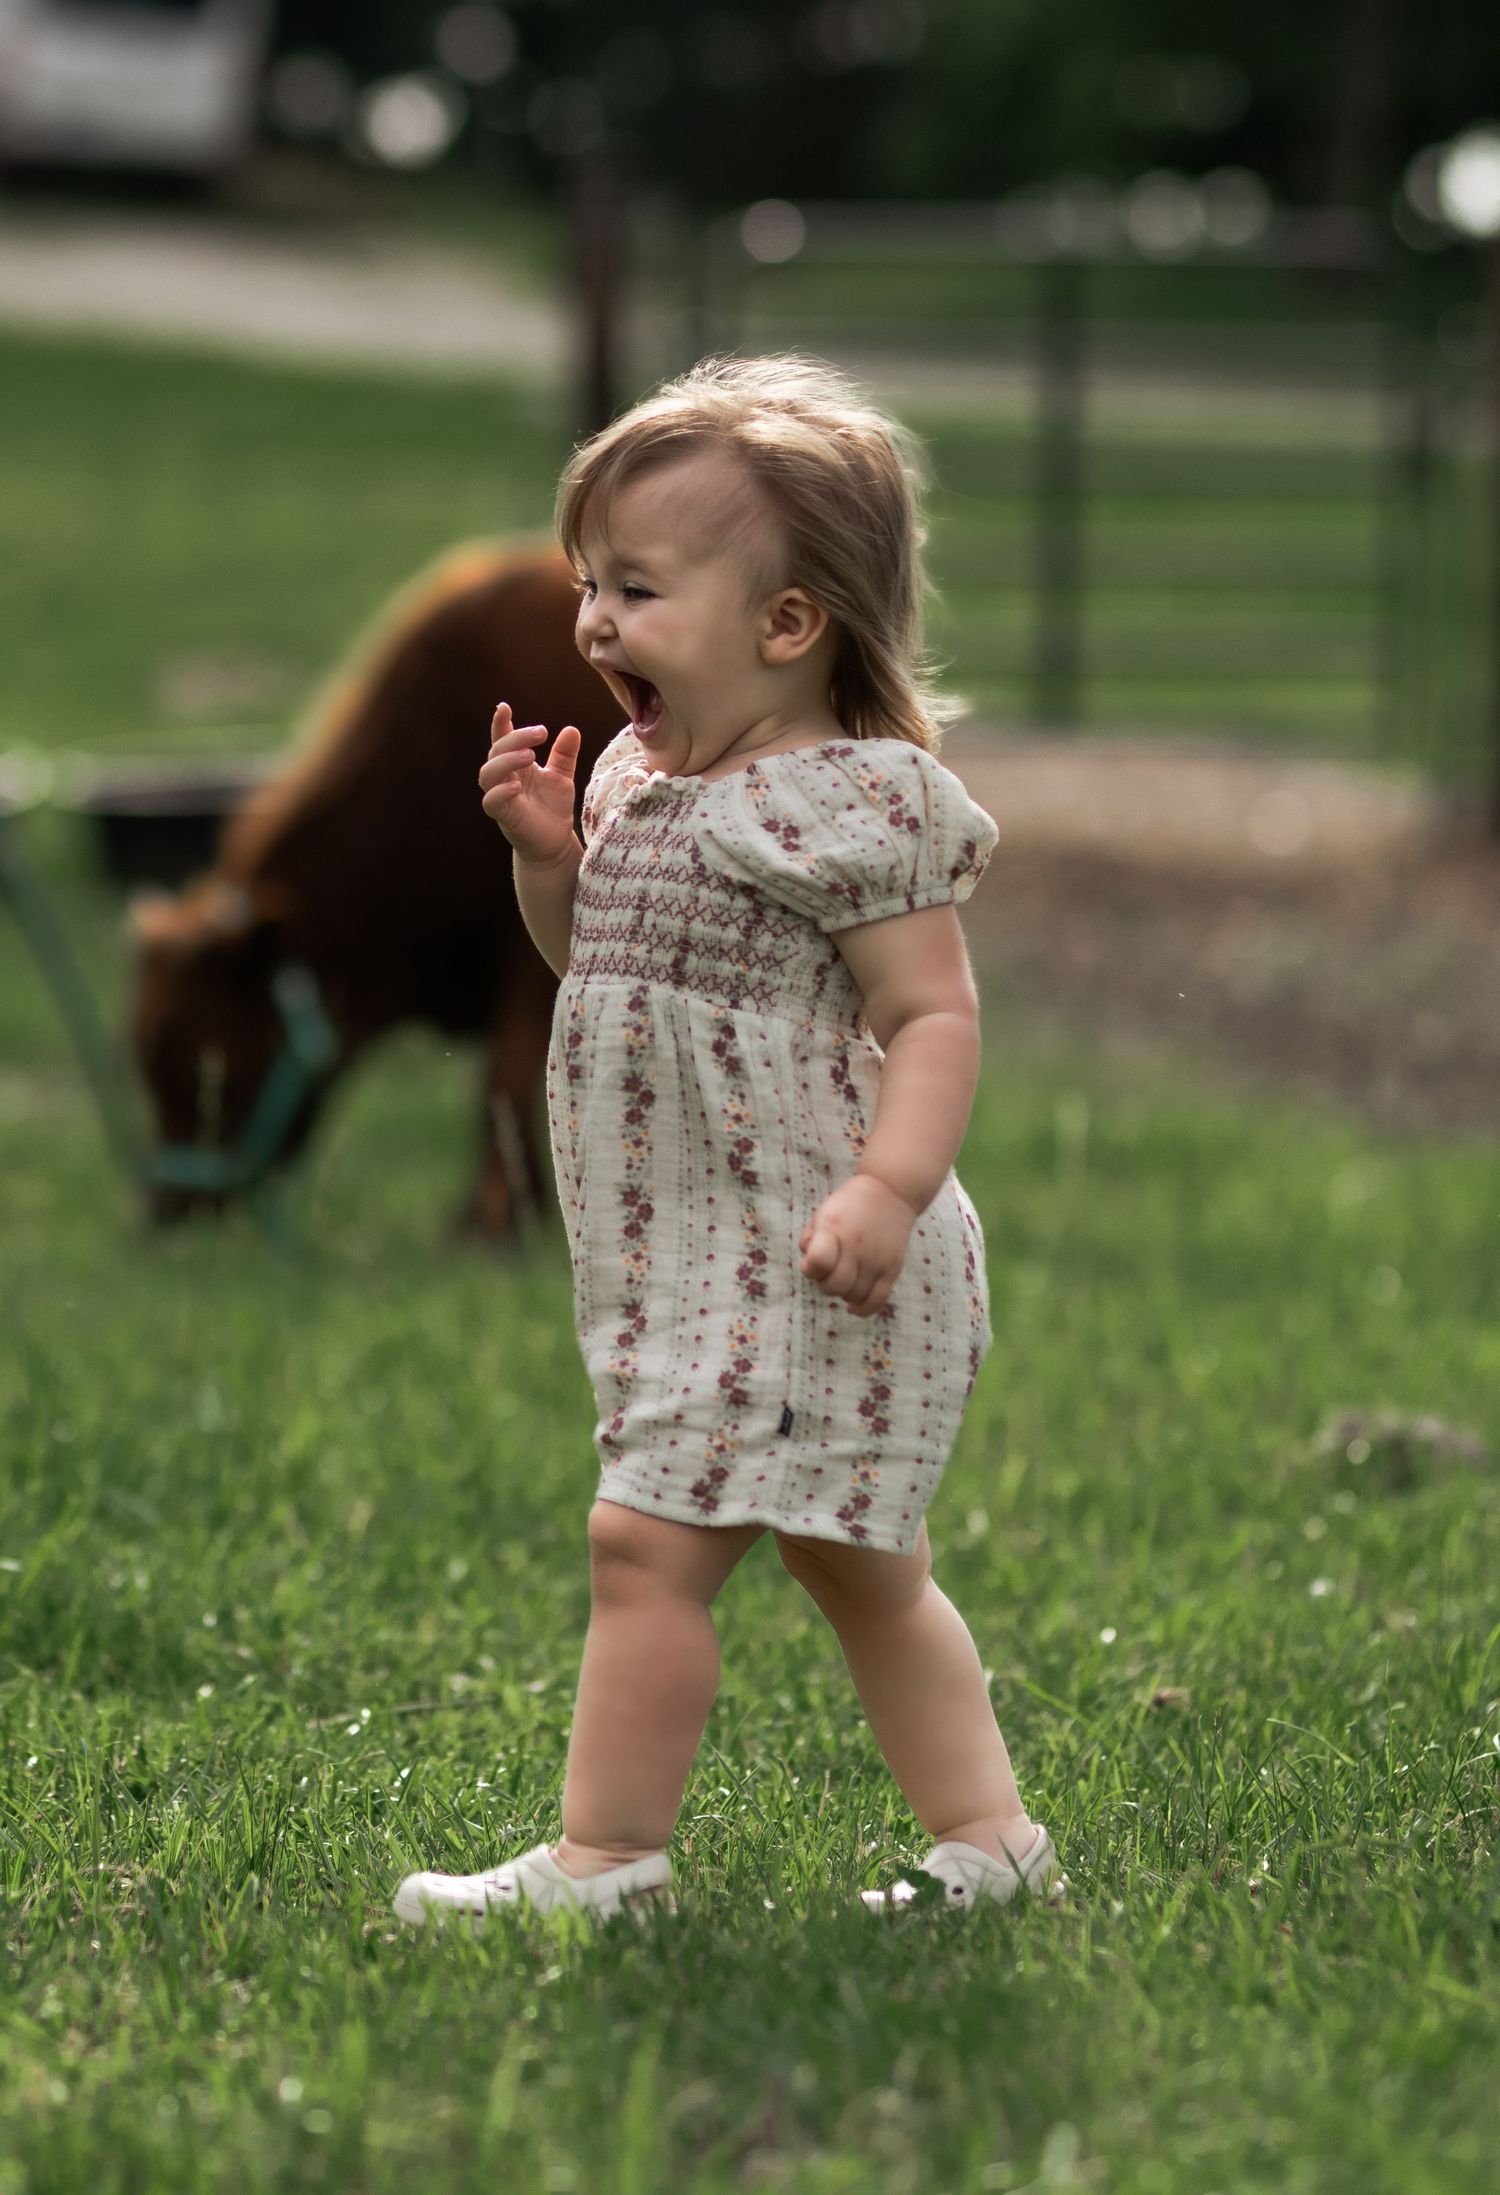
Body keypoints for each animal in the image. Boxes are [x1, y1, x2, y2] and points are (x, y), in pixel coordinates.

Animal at [127, 542, 621, 1246]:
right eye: (142, 1062)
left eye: (202, 1067)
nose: (168, 1210)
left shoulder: (526, 966)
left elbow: (502, 1078)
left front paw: (489, 1223)